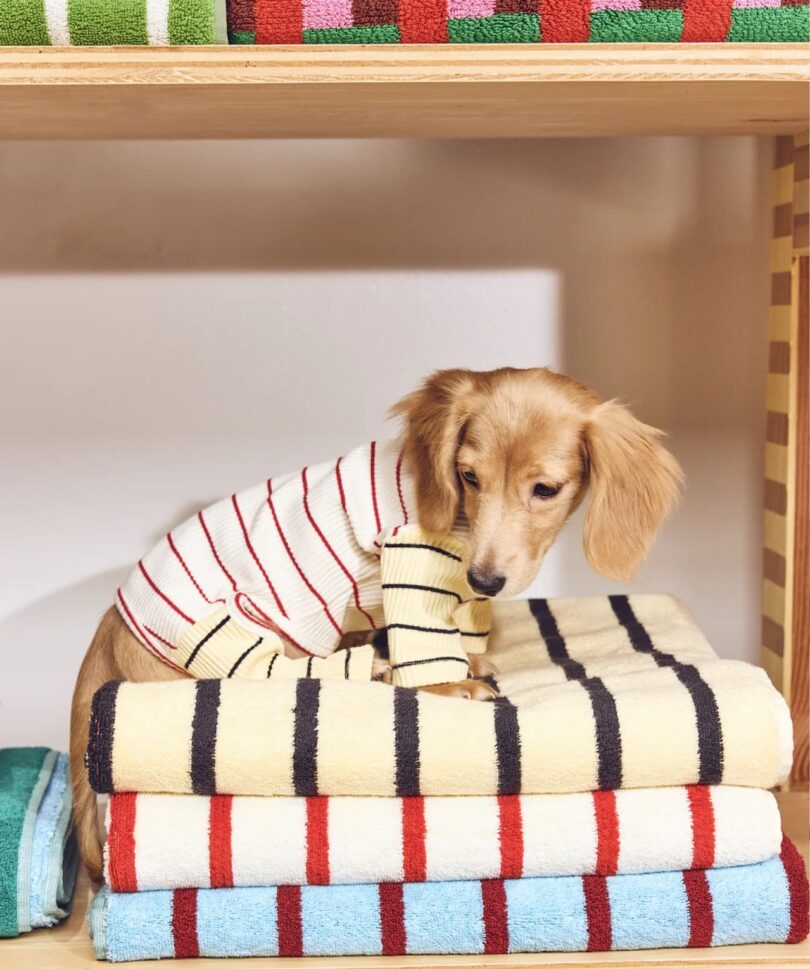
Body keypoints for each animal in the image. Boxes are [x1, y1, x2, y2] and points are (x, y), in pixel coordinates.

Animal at [69, 364, 680, 876]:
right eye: (468, 476)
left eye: (545, 489)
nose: (485, 579)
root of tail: (112, 624)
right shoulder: (412, 557)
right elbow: (426, 649)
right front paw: (451, 683)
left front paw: (471, 654)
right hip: (242, 638)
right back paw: (374, 663)